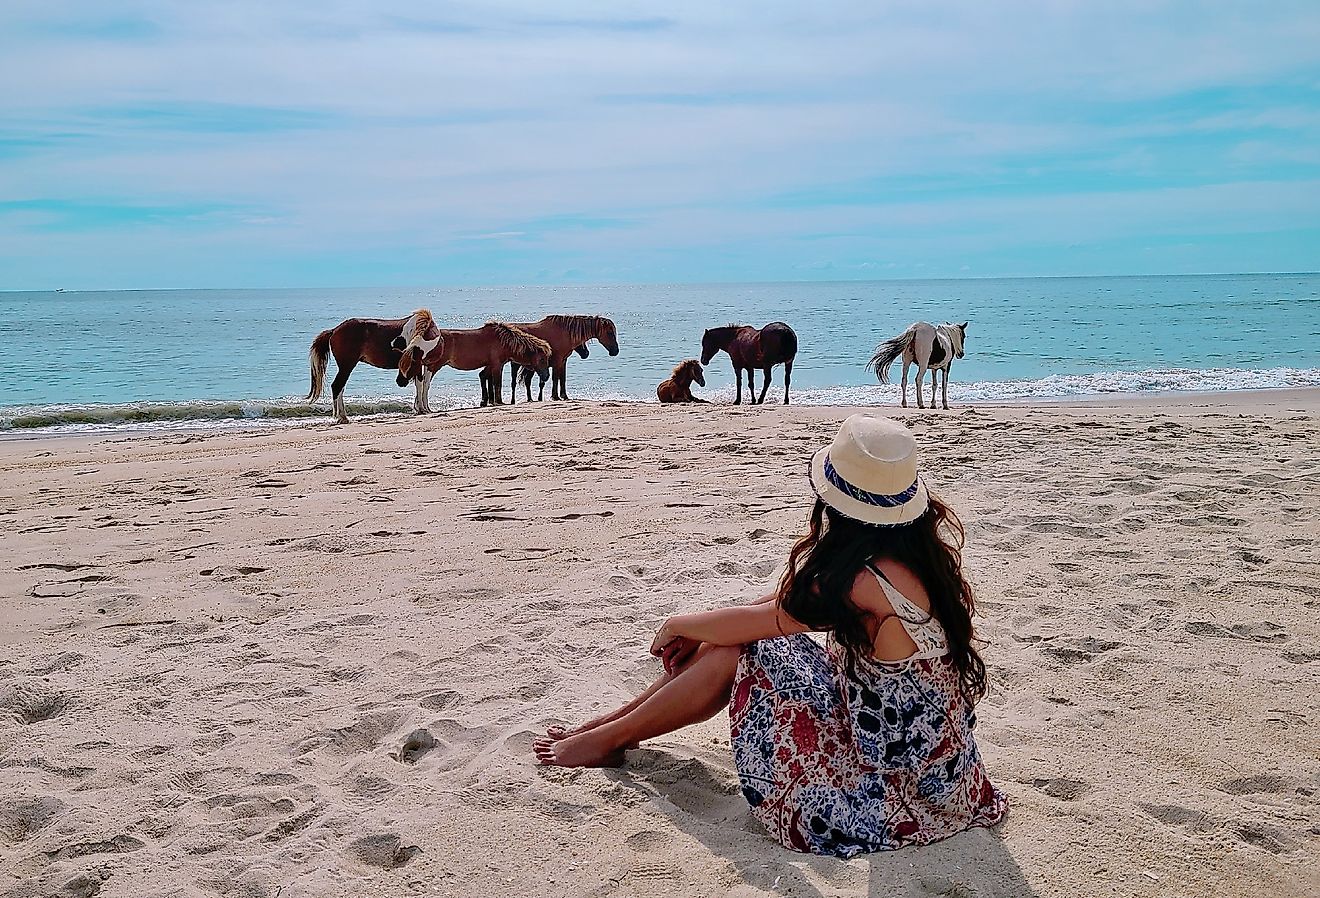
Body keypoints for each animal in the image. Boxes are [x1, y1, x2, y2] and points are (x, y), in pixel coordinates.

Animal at [306, 311, 435, 425]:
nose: (400, 382)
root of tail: (334, 331)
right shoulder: (418, 365)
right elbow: (421, 385)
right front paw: (422, 409)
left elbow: (423, 385)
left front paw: (422, 408)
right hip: (346, 366)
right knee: (337, 386)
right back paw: (342, 417)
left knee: (340, 388)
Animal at [393, 316, 554, 409]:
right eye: (541, 359)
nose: (546, 376)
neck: (502, 340)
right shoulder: (497, 365)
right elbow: (497, 383)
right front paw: (498, 401)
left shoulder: (490, 365)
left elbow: (486, 379)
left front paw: (487, 401)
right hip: (433, 366)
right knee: (424, 384)